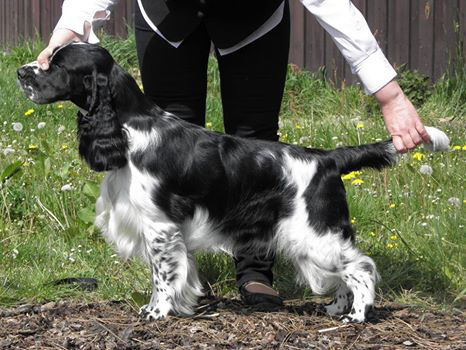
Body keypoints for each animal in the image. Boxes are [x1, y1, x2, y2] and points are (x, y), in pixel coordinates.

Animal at [17, 43, 448, 322]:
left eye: (55, 65)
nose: (22, 72)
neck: (130, 128)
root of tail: (327, 158)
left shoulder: (159, 227)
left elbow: (161, 275)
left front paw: (156, 311)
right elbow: (178, 272)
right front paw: (179, 306)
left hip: (315, 231)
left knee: (361, 267)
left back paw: (356, 315)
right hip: (318, 236)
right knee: (347, 270)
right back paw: (337, 308)